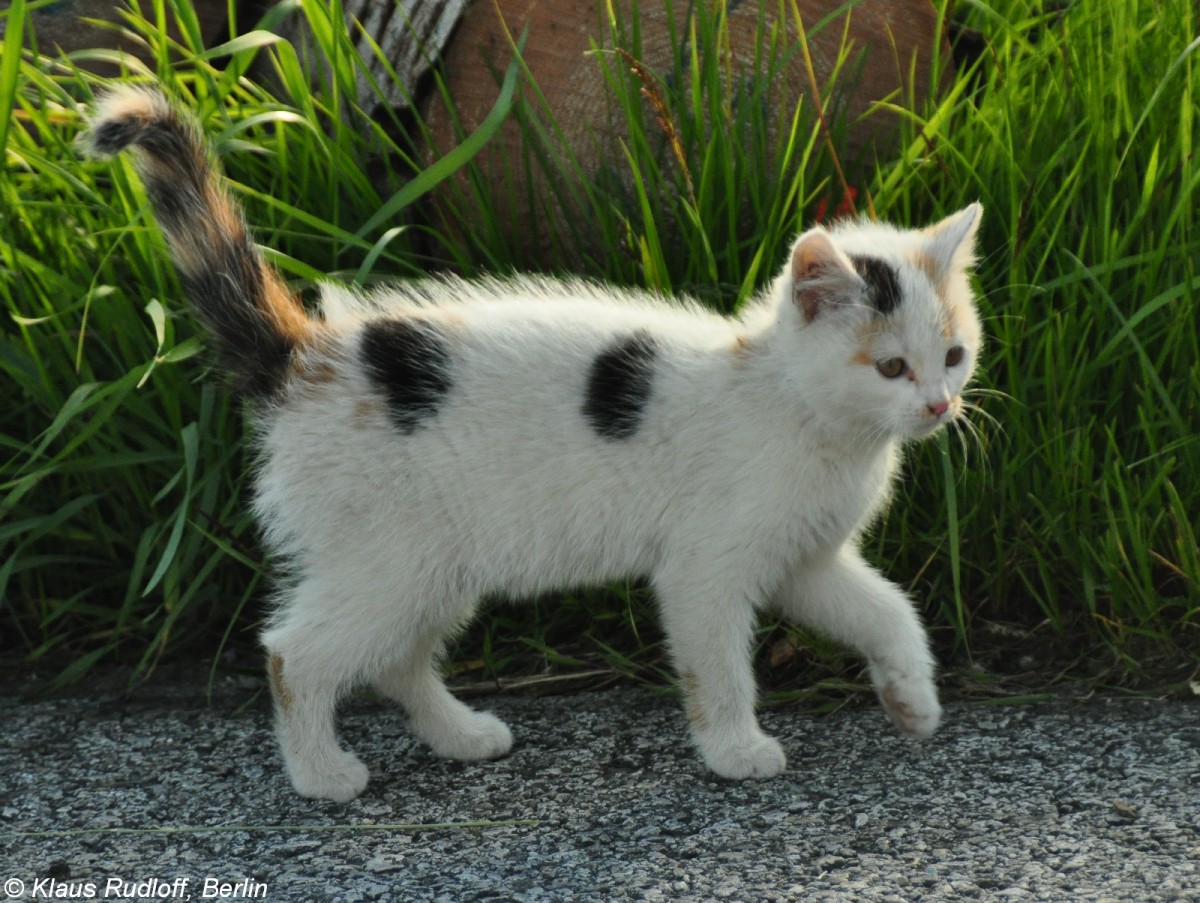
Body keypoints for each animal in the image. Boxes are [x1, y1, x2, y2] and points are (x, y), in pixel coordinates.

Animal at [84, 86, 984, 802]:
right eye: (891, 366)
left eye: (954, 354)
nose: (939, 405)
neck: (802, 412)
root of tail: (305, 354)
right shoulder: (706, 565)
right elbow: (718, 662)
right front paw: (735, 748)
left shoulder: (806, 557)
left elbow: (889, 609)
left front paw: (913, 698)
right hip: (393, 557)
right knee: (294, 654)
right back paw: (322, 774)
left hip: (431, 564)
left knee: (393, 658)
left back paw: (461, 735)